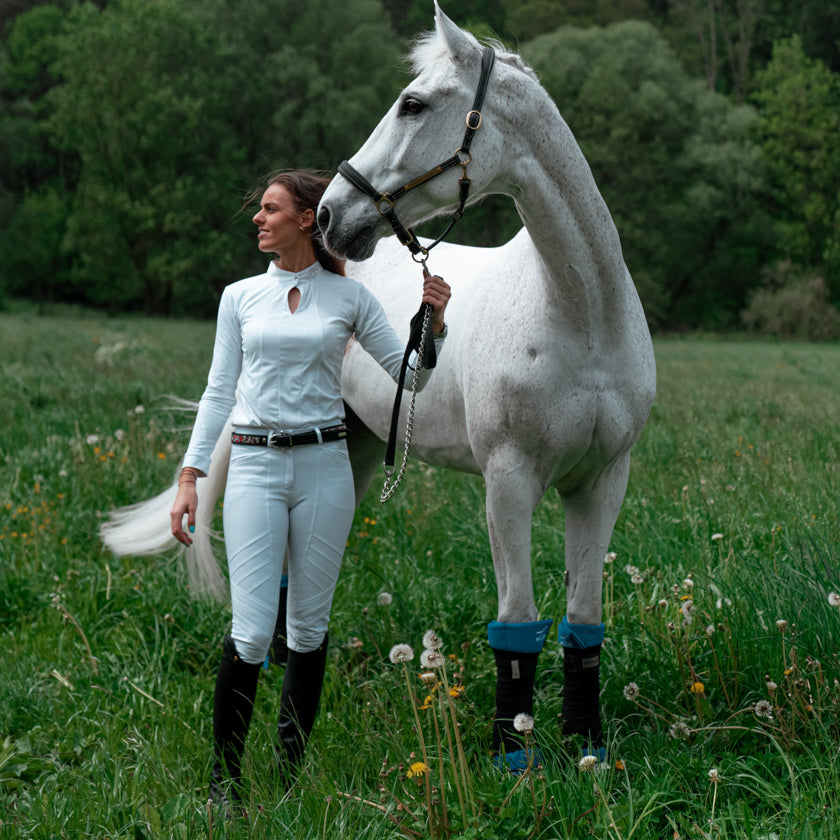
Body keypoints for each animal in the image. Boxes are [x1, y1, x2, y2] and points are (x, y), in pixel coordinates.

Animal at [103, 3, 656, 768]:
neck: (581, 316)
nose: (332, 214)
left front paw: (588, 751)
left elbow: (584, 621)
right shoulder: (509, 479)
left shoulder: (603, 479)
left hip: (359, 449)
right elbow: (516, 620)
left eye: (412, 103)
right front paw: (513, 756)